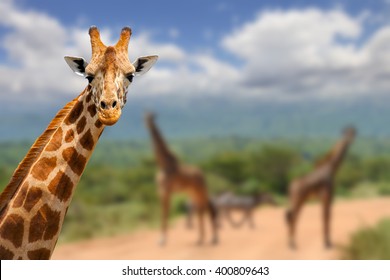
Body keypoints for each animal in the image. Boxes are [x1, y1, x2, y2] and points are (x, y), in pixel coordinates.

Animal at [144, 111, 219, 245]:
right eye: (145, 118)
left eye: (151, 119)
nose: (147, 125)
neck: (163, 164)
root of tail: (202, 174)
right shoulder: (160, 192)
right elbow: (163, 213)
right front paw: (161, 239)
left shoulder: (166, 191)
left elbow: (165, 213)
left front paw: (162, 240)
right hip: (193, 193)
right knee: (201, 210)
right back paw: (200, 239)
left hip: (201, 191)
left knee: (208, 209)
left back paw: (213, 239)